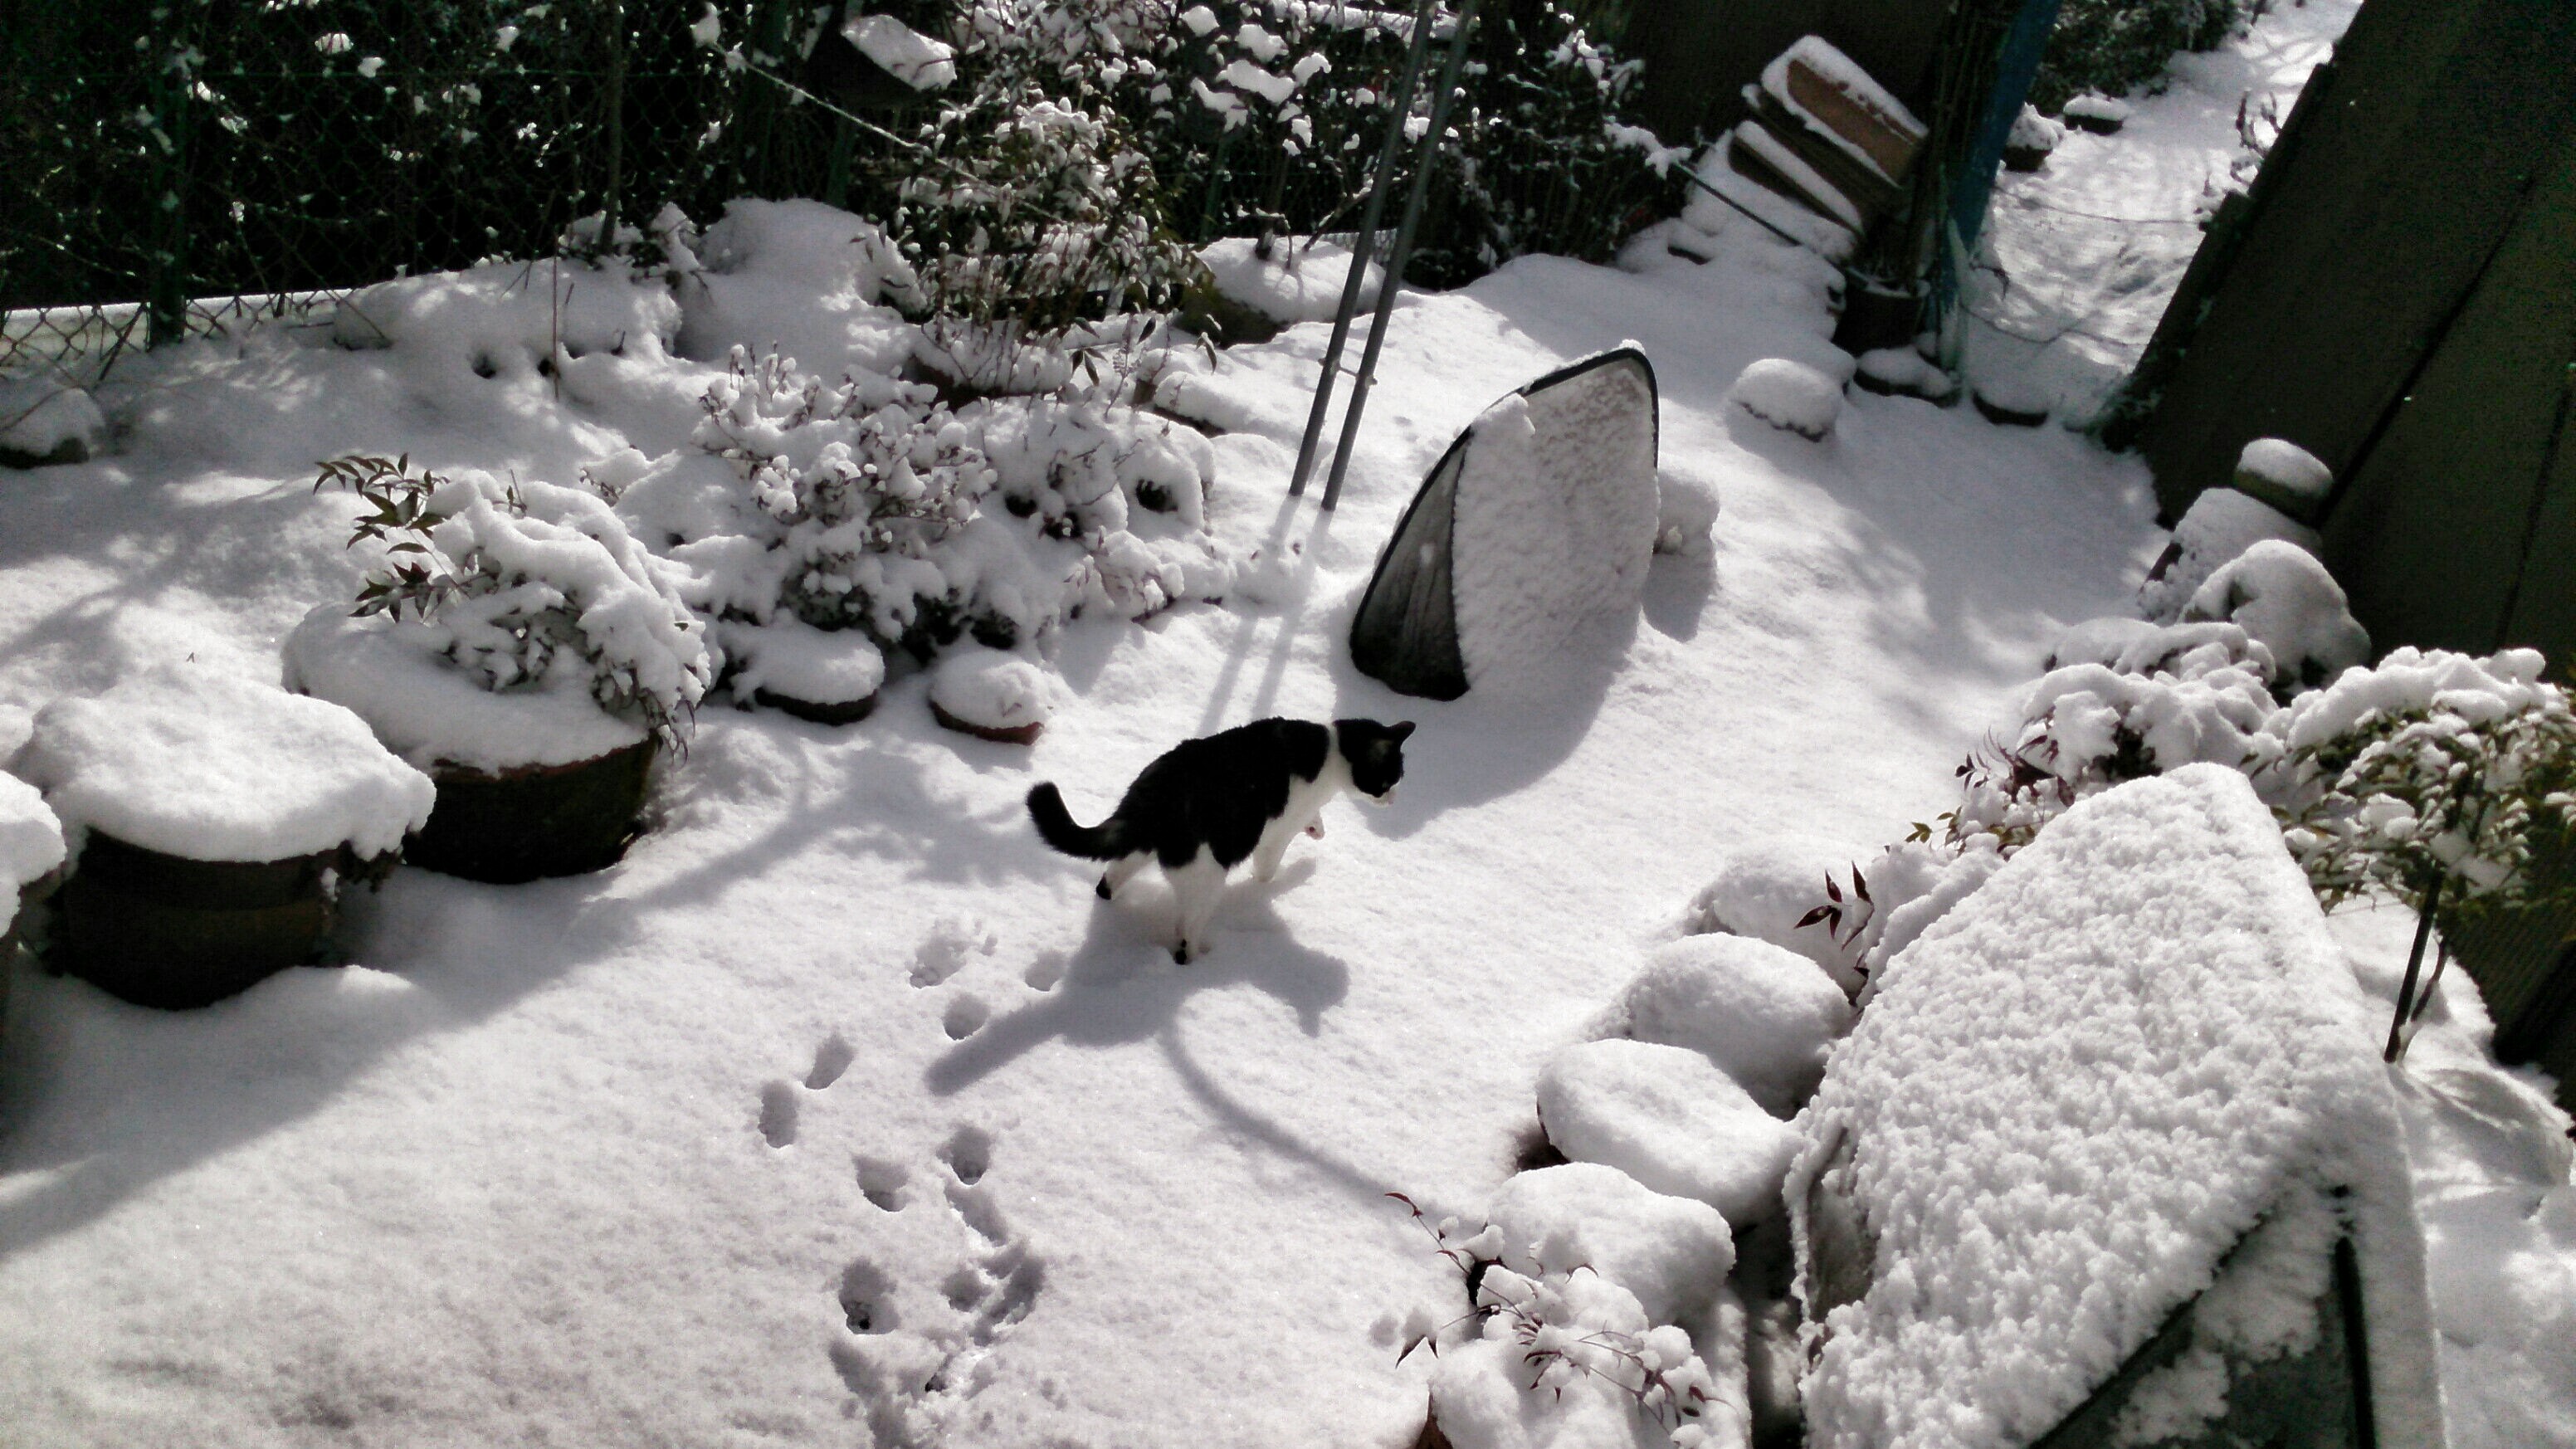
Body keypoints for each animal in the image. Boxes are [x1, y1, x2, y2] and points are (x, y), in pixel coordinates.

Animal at [1025, 711, 1422, 959]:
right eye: (1389, 781)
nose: (1395, 799)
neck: (1332, 749)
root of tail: (1151, 801)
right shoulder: (1276, 833)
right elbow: (1268, 872)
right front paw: (1280, 881)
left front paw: (1316, 827)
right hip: (1208, 879)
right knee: (1184, 936)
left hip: (1136, 851)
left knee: (1107, 882)